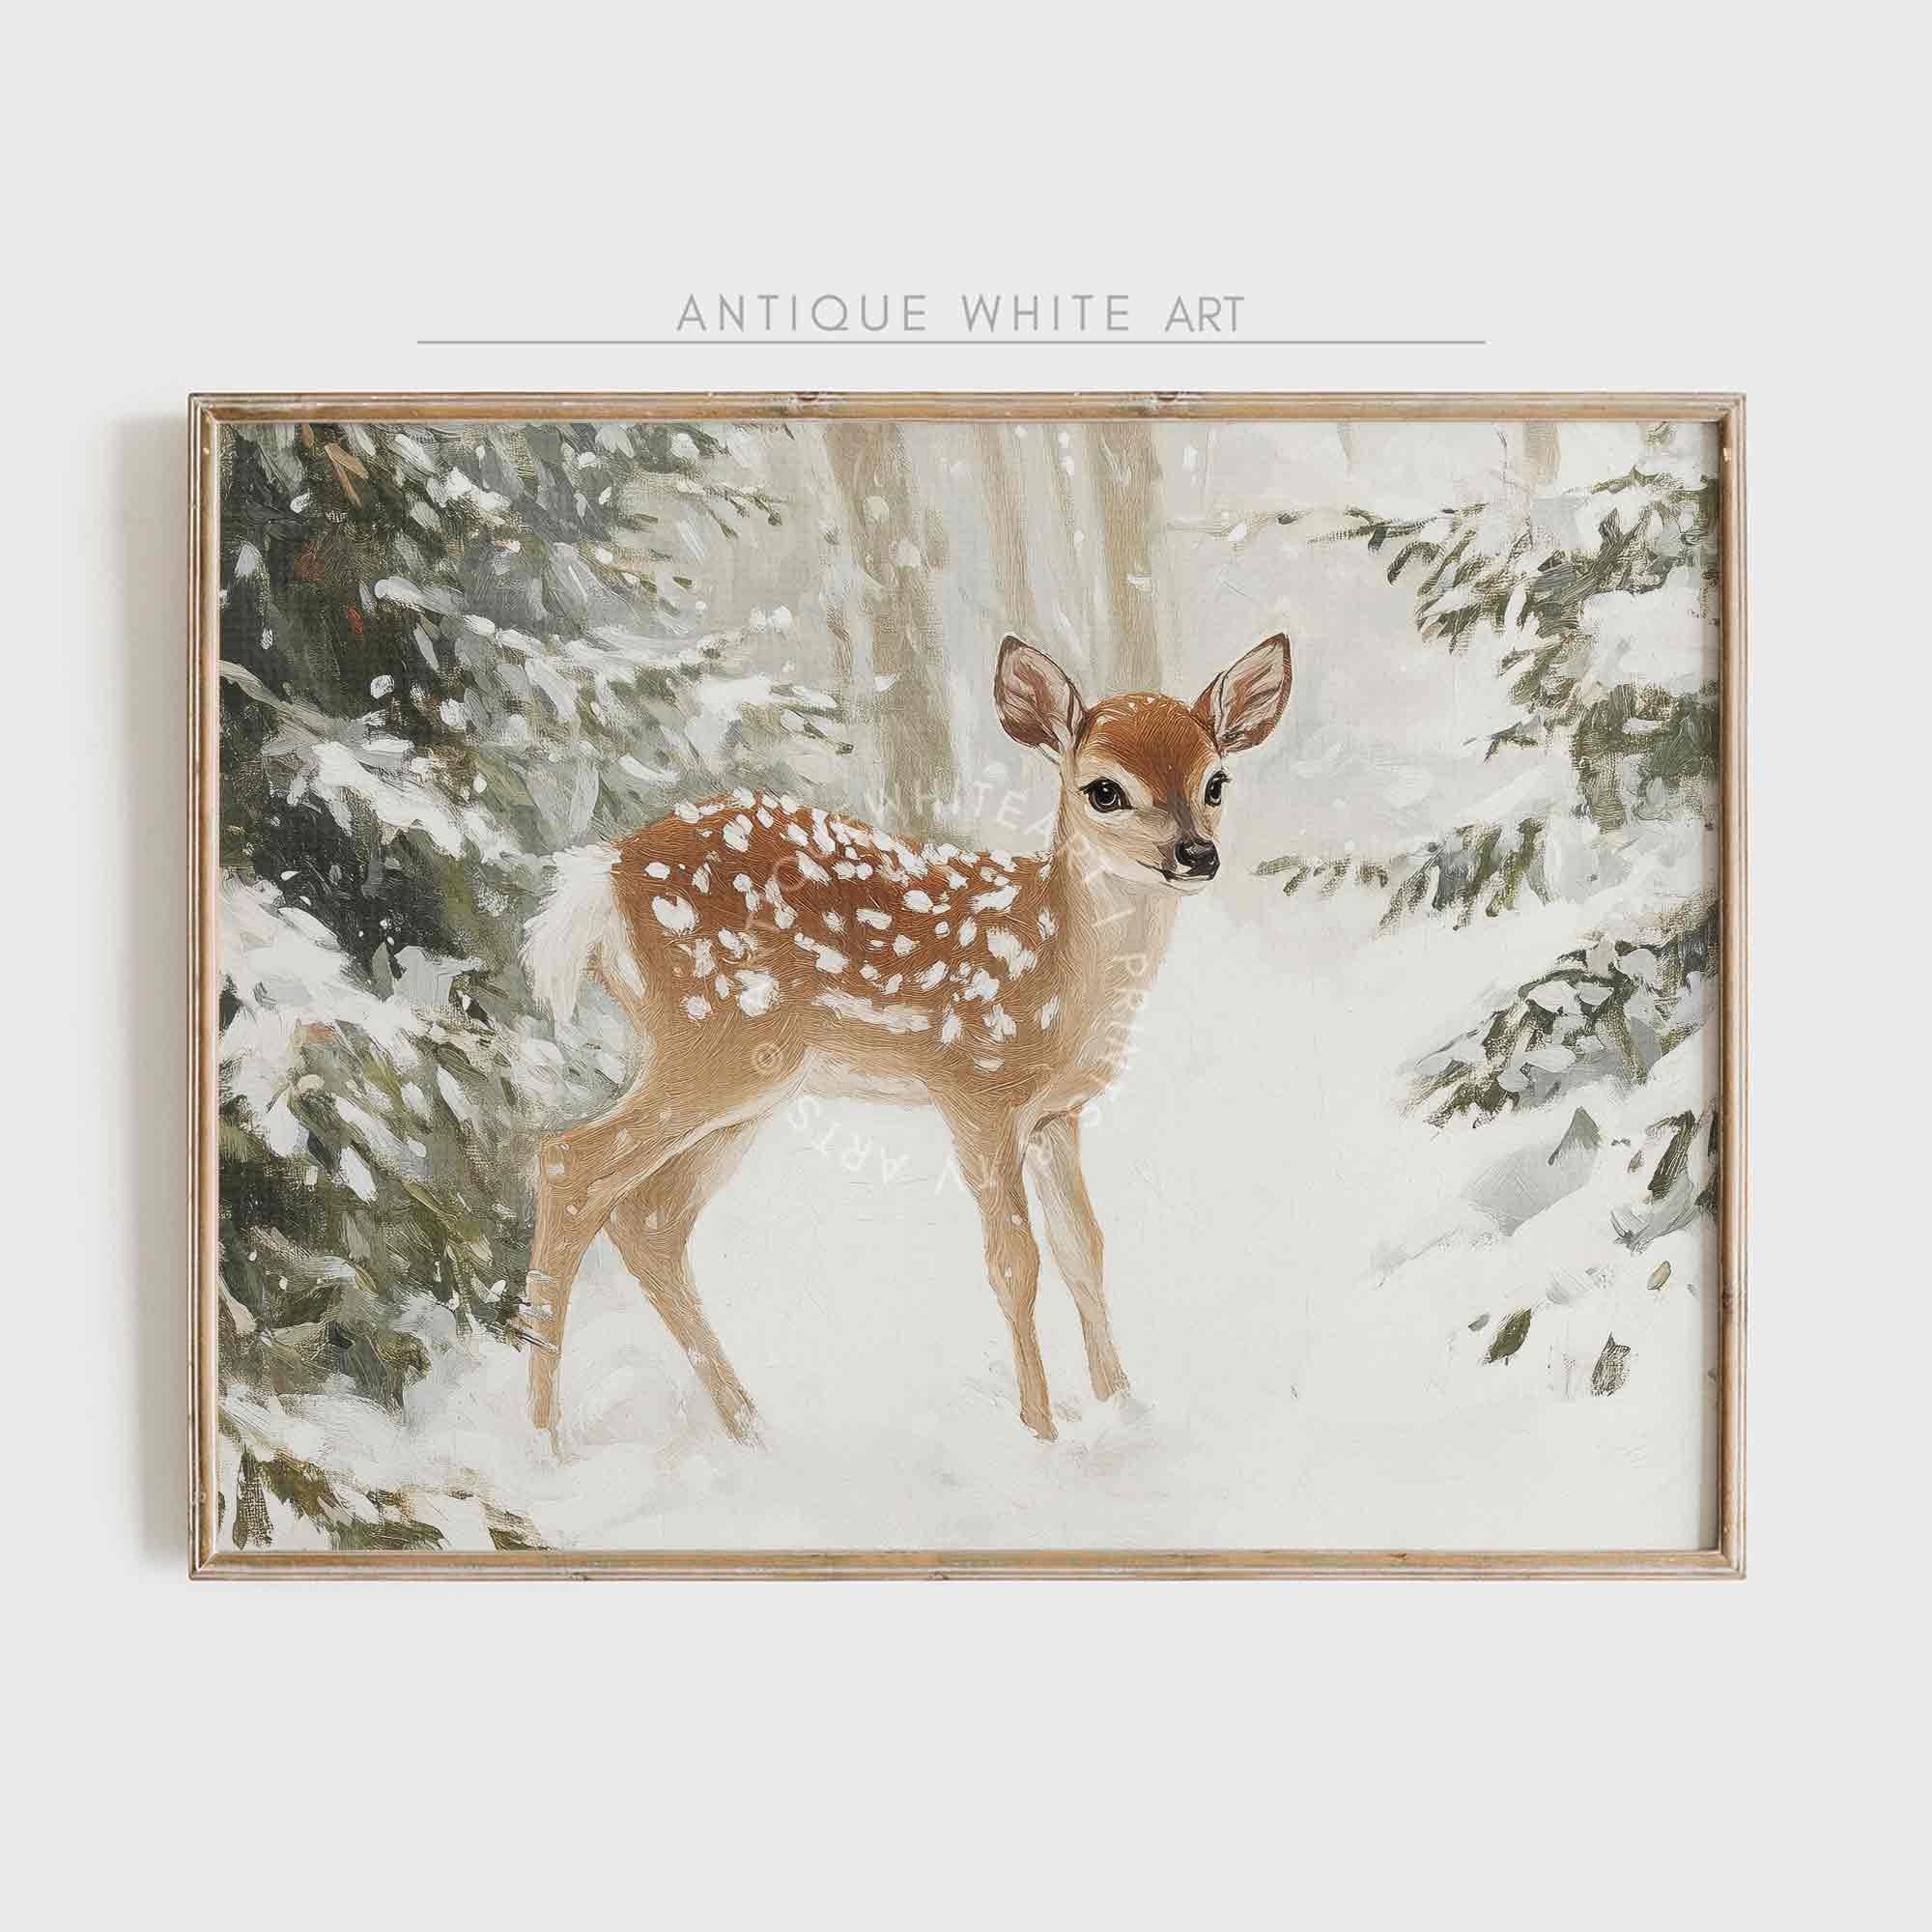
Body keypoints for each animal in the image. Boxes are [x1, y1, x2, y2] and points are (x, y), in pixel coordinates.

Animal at [518, 630, 1292, 1443]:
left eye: (1216, 781)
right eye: (1104, 789)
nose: (1197, 854)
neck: (1058, 977)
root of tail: (601, 876)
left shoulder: (1059, 1112)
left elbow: (1084, 1248)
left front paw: (1123, 1407)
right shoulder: (976, 1090)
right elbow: (1014, 1264)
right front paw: (1042, 1433)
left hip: (751, 1080)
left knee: (649, 1215)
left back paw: (752, 1430)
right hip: (711, 1042)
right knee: (569, 1164)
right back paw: (545, 1442)